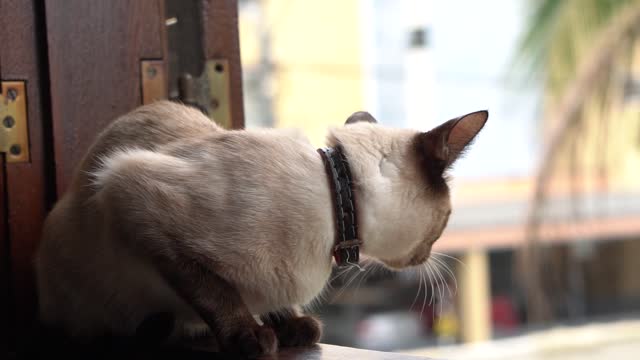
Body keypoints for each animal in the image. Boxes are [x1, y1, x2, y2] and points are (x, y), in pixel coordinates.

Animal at [35, 100, 484, 356]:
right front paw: (249, 337)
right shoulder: (136, 198)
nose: (429, 256)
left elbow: (271, 299)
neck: (335, 199)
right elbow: (217, 293)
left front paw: (293, 326)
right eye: (446, 220)